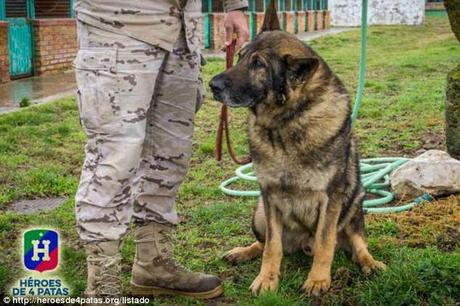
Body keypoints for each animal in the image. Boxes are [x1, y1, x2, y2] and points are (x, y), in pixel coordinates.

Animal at [210, 0, 386, 296]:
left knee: (356, 244)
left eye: (258, 65)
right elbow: (272, 247)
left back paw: (369, 262)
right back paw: (243, 252)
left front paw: (318, 279)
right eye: (241, 56)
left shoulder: (331, 198)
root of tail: (302, 244)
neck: (286, 123)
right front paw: (267, 279)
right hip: (259, 212)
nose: (212, 85)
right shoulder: (269, 196)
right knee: (264, 242)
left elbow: (325, 243)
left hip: (354, 204)